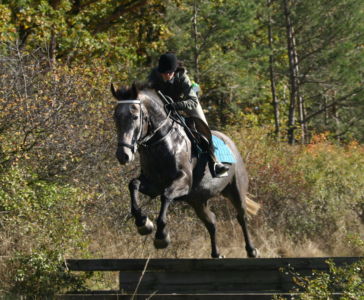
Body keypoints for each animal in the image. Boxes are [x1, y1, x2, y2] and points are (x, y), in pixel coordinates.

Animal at [111, 82, 258, 258]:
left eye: (134, 117)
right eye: (115, 117)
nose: (123, 155)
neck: (161, 143)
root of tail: (230, 142)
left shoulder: (183, 182)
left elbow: (166, 196)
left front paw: (161, 236)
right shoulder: (153, 185)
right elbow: (133, 184)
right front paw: (143, 223)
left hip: (236, 189)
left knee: (242, 216)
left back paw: (251, 250)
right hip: (198, 200)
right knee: (211, 222)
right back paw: (216, 253)